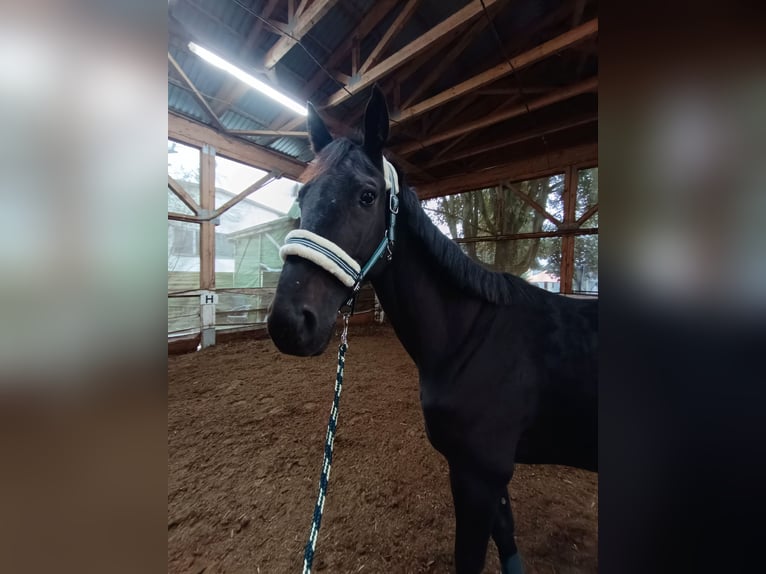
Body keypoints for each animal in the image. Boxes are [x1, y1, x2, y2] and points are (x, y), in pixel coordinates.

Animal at [270, 86, 600, 574]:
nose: (288, 323)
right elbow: (507, 536)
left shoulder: (478, 475)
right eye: (302, 195)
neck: (472, 340)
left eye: (367, 195)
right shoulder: (489, 475)